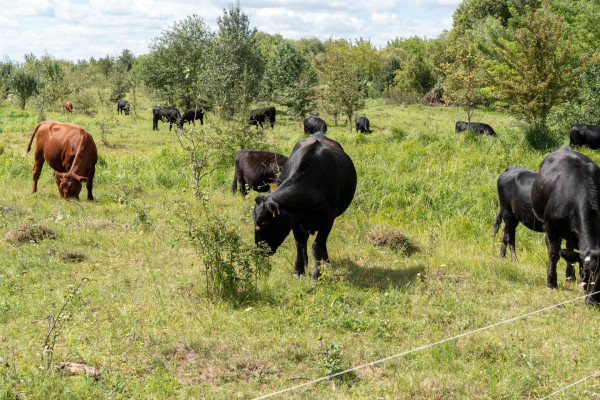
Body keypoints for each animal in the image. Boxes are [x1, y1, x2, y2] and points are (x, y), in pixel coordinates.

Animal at [253, 133, 356, 280]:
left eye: (264, 222)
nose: (258, 250)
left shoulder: (328, 220)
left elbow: (317, 246)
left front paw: (317, 274)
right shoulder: (295, 219)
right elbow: (300, 242)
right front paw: (299, 270)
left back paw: (325, 260)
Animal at [532, 145, 600, 304]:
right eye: (585, 274)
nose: (592, 301)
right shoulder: (552, 228)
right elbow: (554, 255)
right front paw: (551, 282)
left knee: (569, 249)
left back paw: (570, 276)